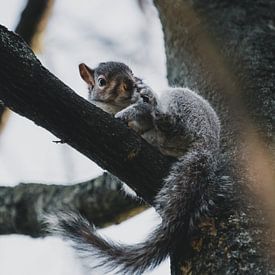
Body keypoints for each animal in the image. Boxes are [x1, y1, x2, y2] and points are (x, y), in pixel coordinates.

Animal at [46, 61, 221, 274]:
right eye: (101, 81)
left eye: (133, 74)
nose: (130, 84)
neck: (116, 106)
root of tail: (208, 146)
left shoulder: (141, 108)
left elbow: (141, 110)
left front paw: (129, 112)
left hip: (187, 108)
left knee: (168, 120)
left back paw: (158, 110)